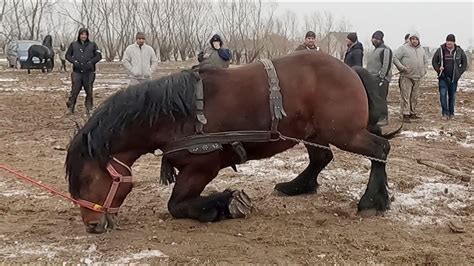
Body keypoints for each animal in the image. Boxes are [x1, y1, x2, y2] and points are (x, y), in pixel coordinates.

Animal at [64, 51, 396, 234]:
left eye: (86, 179)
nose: (91, 225)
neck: (178, 114)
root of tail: (349, 69)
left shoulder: (201, 168)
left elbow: (176, 205)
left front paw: (224, 204)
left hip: (344, 133)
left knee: (380, 149)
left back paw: (371, 201)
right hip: (314, 133)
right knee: (321, 159)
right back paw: (296, 186)